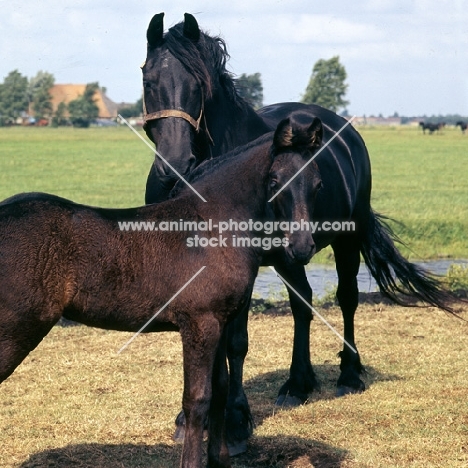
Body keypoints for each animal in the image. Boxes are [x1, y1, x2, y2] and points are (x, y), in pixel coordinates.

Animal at [0, 116, 324, 468]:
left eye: (319, 183)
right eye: (275, 180)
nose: (302, 247)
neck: (212, 224)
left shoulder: (220, 323)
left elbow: (221, 389)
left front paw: (219, 459)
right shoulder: (199, 323)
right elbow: (197, 399)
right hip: (16, 329)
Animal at [143, 12, 458, 456]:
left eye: (198, 84)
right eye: (148, 78)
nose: (173, 168)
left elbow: (236, 341)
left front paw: (236, 422)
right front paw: (187, 418)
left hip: (345, 240)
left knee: (346, 298)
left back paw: (348, 375)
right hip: (292, 256)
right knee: (303, 302)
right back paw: (298, 383)